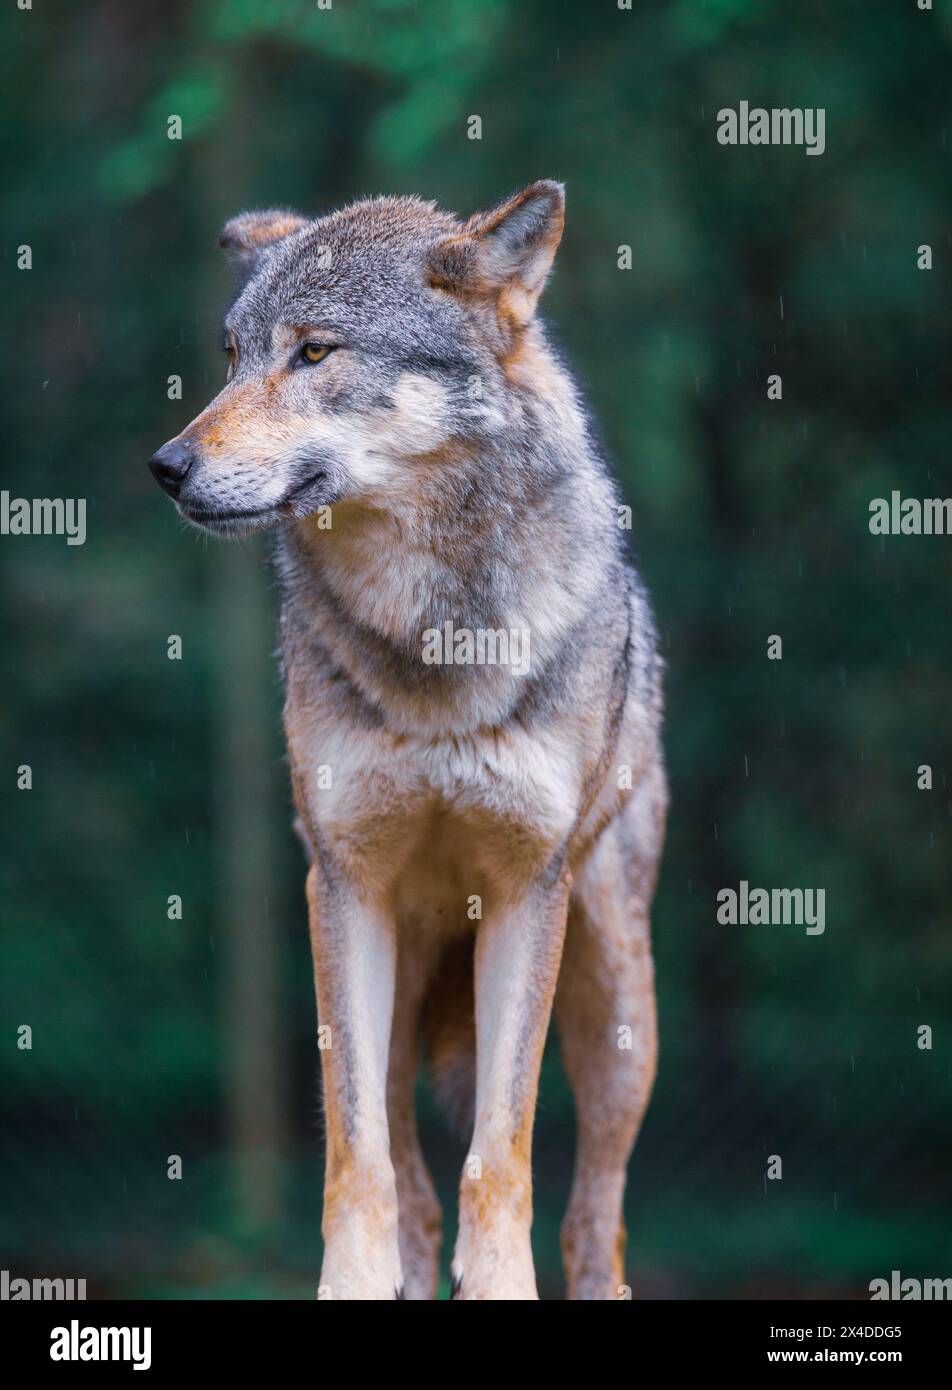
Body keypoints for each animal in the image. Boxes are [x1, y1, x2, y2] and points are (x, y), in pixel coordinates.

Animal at [149, 182, 667, 1300]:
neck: (434, 641)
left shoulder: (527, 891)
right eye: (231, 356)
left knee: (595, 1221)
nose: (166, 467)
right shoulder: (343, 887)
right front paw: (352, 1280)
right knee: (407, 1177)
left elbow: (502, 1152)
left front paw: (499, 1282)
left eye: (314, 352)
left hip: (618, 1016)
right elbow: (360, 1158)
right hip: (381, 990)